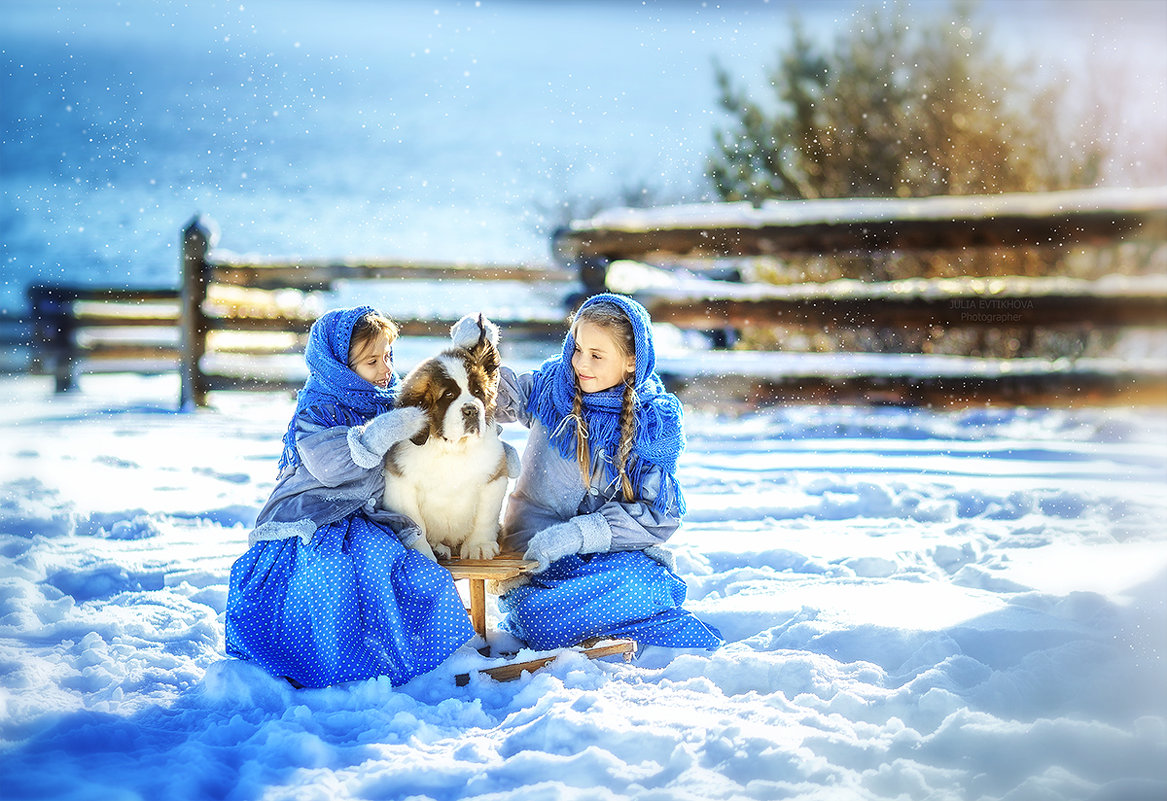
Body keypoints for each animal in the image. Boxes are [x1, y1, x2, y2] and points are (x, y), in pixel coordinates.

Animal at [382, 317, 506, 562]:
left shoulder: (495, 476)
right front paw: (423, 553)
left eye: (478, 392)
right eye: (448, 395)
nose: (471, 410)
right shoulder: (399, 483)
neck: (452, 449)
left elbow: (485, 516)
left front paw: (479, 545)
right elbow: (415, 525)